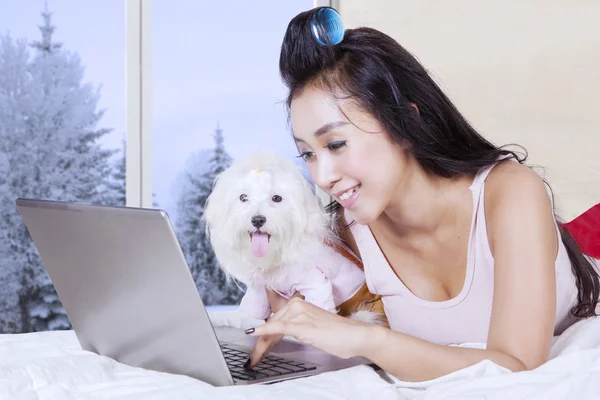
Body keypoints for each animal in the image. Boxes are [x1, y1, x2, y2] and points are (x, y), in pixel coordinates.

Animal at [203, 152, 390, 330]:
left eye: (277, 198)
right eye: (243, 197)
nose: (257, 220)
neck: (276, 255)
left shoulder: (315, 283)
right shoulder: (258, 294)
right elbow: (241, 317)